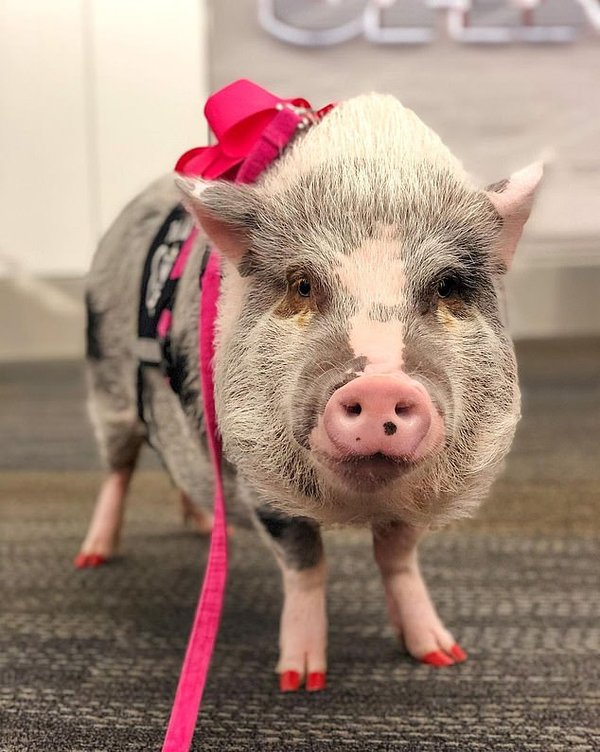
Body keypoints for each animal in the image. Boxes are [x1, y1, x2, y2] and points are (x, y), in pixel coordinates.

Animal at [77, 94, 540, 692]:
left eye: (447, 287)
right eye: (302, 286)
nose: (380, 384)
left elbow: (398, 557)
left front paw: (443, 655)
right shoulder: (253, 469)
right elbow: (305, 561)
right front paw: (300, 680)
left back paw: (201, 528)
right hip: (107, 392)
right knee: (119, 468)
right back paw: (92, 558)